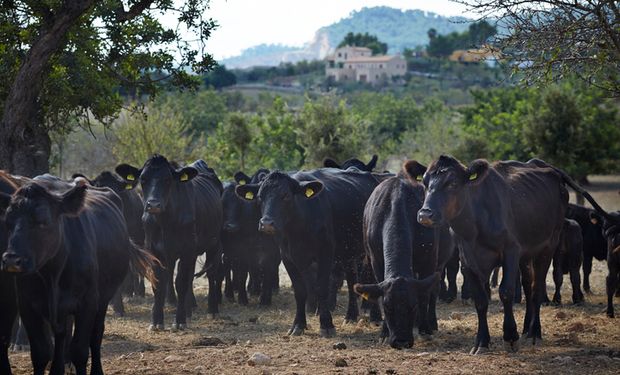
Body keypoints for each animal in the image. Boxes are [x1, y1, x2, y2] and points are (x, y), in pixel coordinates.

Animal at [0, 177, 155, 375]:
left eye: (43, 221)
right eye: (8, 223)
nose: (12, 260)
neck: (53, 273)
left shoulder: (87, 303)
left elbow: (80, 350)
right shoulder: (28, 306)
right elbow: (41, 353)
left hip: (102, 299)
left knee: (95, 335)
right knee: (63, 335)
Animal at [115, 154, 224, 330]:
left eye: (168, 180)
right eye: (143, 179)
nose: (153, 204)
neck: (165, 221)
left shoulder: (187, 249)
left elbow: (181, 282)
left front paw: (179, 321)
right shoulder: (154, 250)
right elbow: (159, 283)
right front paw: (156, 321)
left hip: (214, 243)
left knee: (212, 274)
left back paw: (212, 309)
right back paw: (189, 309)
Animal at [237, 170, 380, 338]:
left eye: (286, 195)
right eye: (260, 196)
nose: (266, 224)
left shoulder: (325, 253)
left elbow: (322, 287)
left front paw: (326, 325)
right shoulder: (288, 258)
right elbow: (300, 290)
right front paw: (298, 325)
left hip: (368, 251)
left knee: (372, 278)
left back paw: (375, 316)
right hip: (348, 251)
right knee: (352, 280)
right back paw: (350, 316)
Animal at [354, 163, 450, 352]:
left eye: (412, 307)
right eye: (388, 307)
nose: (401, 341)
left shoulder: (429, 262)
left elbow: (425, 295)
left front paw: (424, 330)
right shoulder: (376, 261)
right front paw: (384, 333)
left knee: (433, 291)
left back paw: (430, 323)